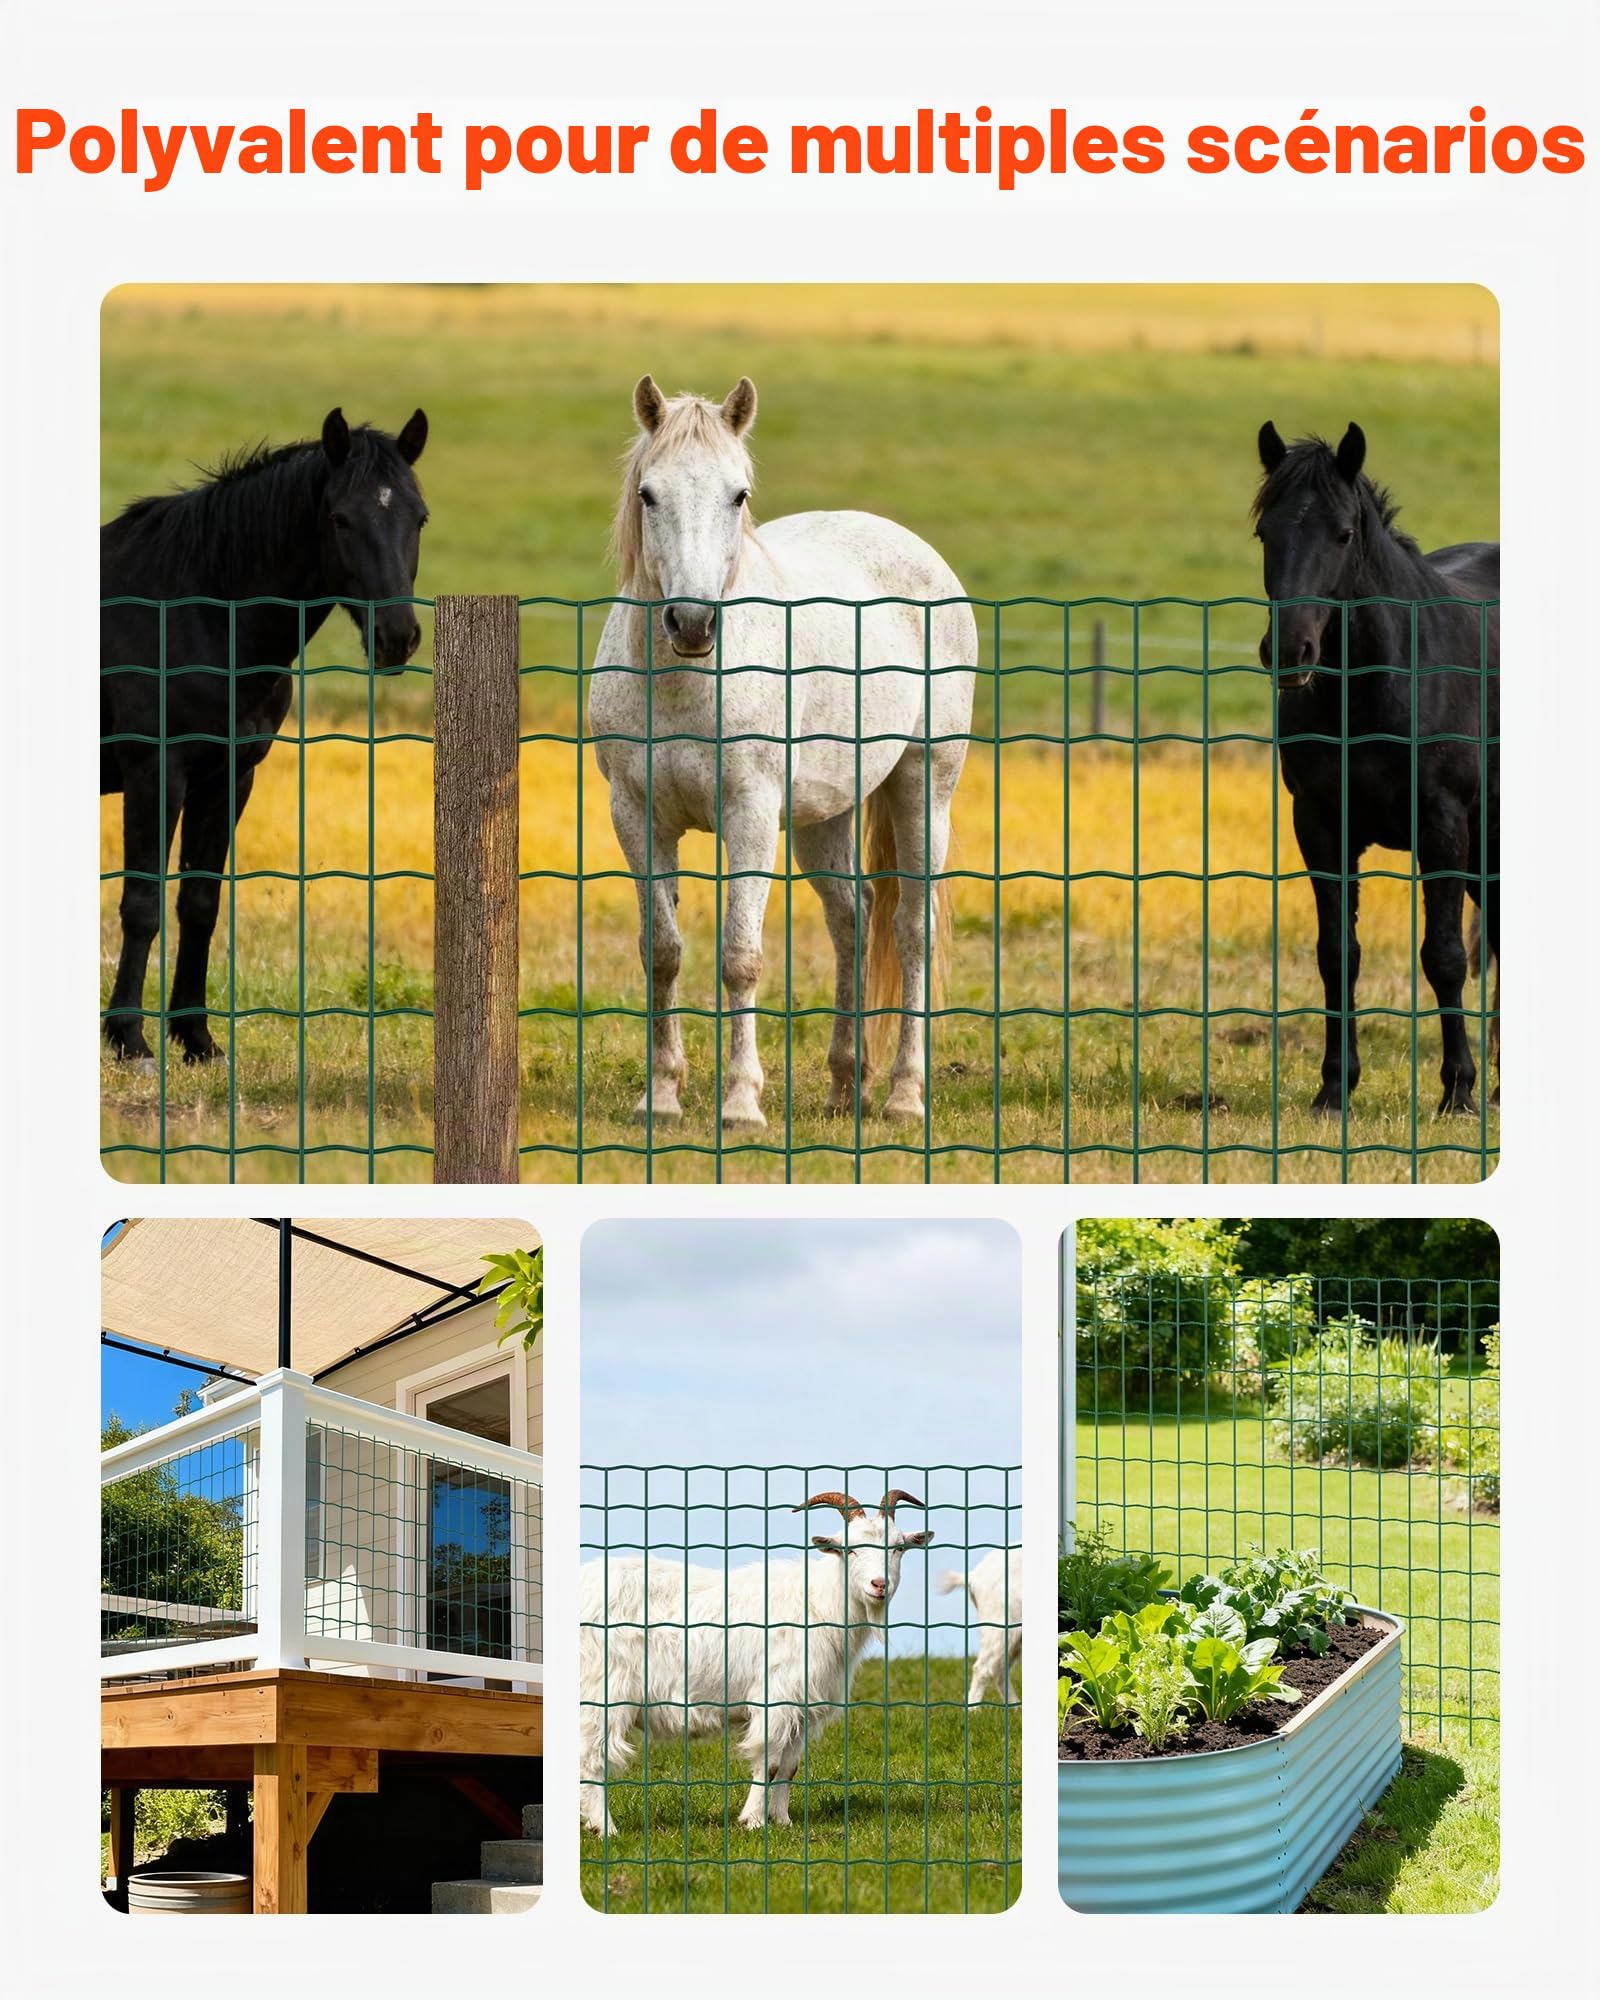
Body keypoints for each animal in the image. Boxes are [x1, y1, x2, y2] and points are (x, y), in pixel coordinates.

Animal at [578, 1489, 933, 1835]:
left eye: (898, 1547)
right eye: (850, 1550)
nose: (879, 1585)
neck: (818, 1604)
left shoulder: (801, 1708)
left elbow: (789, 1765)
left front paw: (783, 1820)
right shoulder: (777, 1696)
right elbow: (769, 1762)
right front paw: (754, 1821)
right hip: (603, 1690)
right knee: (592, 1756)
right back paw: (604, 1828)